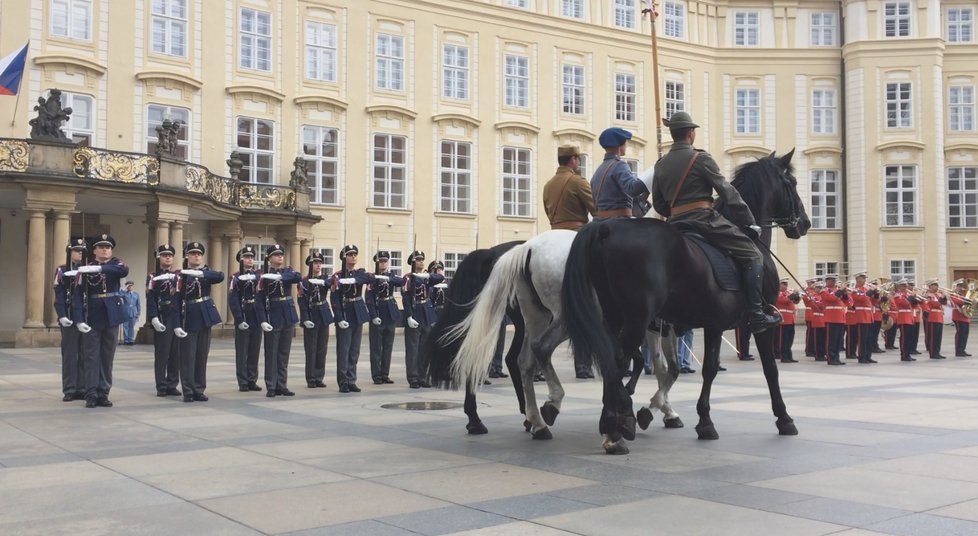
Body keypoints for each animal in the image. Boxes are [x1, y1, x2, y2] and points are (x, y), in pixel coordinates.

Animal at [560, 150, 804, 452]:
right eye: (792, 183)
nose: (805, 223)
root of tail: (607, 229)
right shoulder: (756, 324)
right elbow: (768, 369)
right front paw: (783, 418)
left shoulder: (708, 325)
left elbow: (699, 369)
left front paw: (695, 419)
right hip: (637, 318)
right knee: (618, 360)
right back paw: (615, 428)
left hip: (614, 315)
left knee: (612, 361)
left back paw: (612, 422)